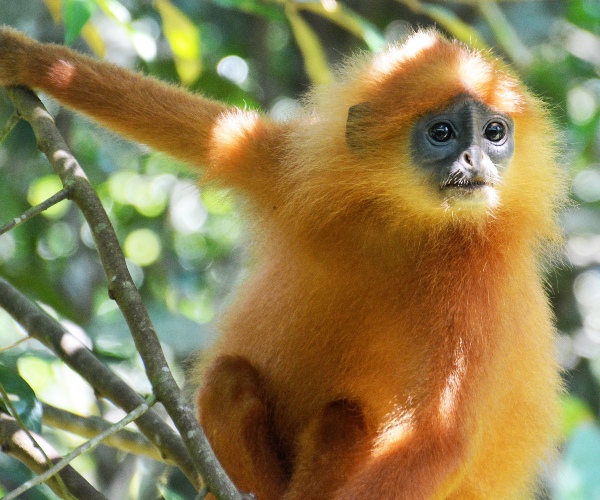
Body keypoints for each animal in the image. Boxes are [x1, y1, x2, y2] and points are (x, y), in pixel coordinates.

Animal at [0, 26, 568, 500]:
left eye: (494, 133)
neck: (408, 223)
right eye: (443, 132)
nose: (476, 160)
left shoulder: (482, 274)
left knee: (345, 418)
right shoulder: (297, 173)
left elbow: (442, 438)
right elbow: (207, 132)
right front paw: (27, 57)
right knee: (229, 380)